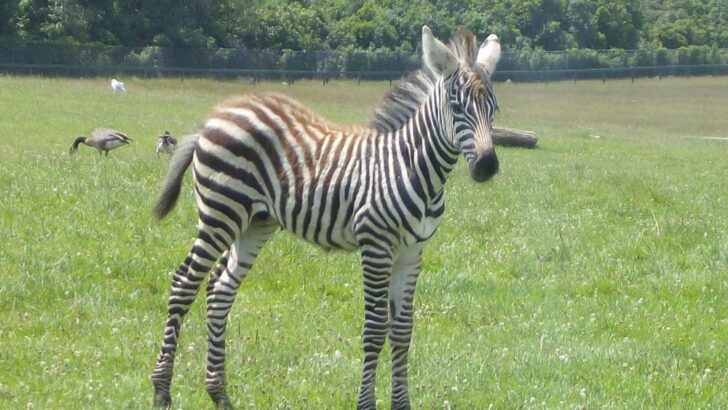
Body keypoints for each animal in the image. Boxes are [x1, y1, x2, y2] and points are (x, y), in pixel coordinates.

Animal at [150, 26, 501, 409]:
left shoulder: (411, 251)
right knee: (184, 283)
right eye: (456, 107)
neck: (412, 167)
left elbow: (402, 330)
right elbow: (375, 328)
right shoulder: (376, 245)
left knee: (220, 289)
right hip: (220, 212)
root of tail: (218, 113)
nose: (487, 166)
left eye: (494, 109)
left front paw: (401, 404)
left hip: (256, 220)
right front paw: (366, 403)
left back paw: (219, 394)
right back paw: (162, 390)